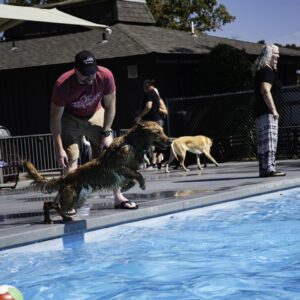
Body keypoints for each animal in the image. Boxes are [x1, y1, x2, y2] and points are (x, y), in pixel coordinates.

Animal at [24, 120, 171, 224]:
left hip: (77, 198)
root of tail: (65, 178)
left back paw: (59, 219)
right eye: (157, 132)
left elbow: (133, 178)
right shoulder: (118, 167)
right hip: (71, 197)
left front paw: (126, 187)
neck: (132, 143)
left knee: (52, 204)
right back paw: (55, 219)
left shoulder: (127, 170)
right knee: (52, 205)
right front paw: (142, 184)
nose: (170, 141)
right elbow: (138, 175)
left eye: (163, 130)